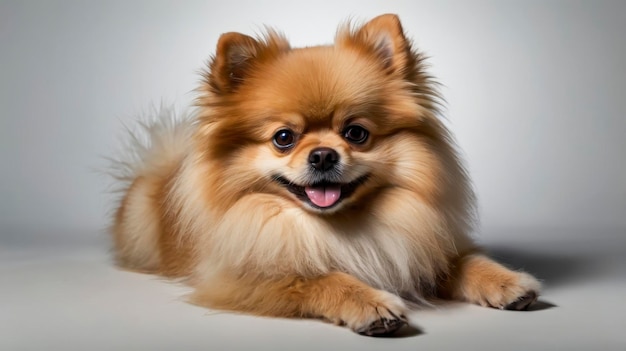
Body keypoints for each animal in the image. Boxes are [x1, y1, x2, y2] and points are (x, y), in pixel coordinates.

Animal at [109, 13, 540, 336]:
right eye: (284, 138)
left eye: (356, 133)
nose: (322, 155)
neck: (337, 227)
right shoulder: (240, 279)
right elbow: (319, 279)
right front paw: (370, 302)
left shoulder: (422, 247)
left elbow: (464, 261)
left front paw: (506, 281)